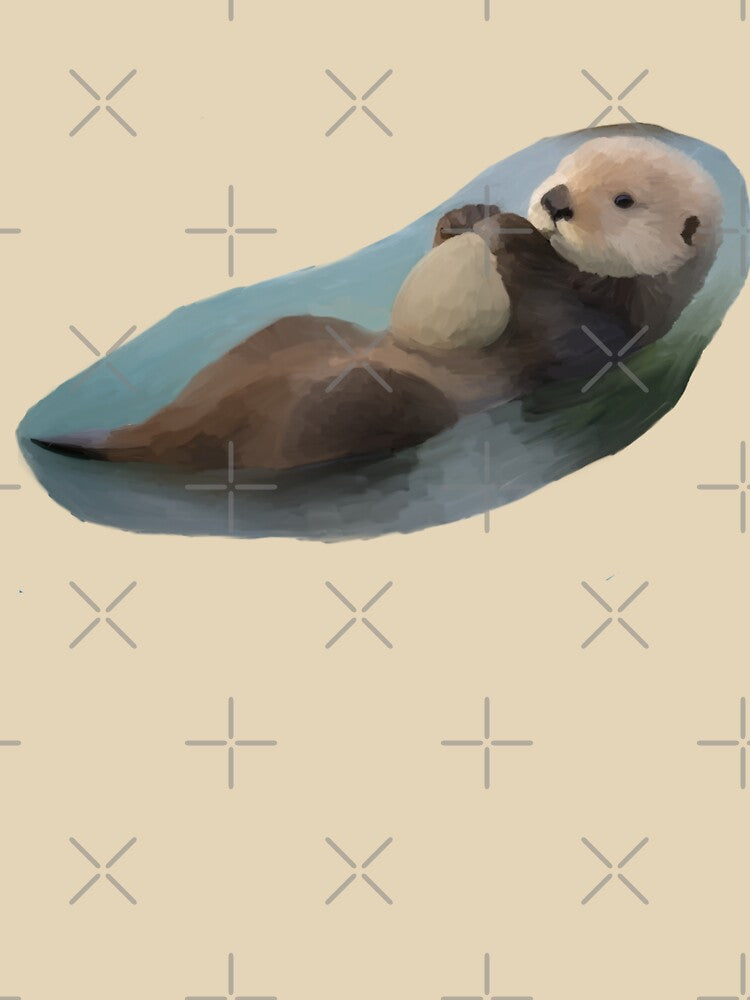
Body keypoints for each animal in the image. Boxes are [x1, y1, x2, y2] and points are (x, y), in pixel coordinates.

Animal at [32, 136, 722, 472]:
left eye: (623, 200)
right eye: (565, 170)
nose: (554, 202)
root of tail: (166, 432)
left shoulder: (618, 326)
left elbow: (557, 326)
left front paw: (513, 237)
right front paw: (467, 217)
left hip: (371, 404)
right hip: (294, 329)